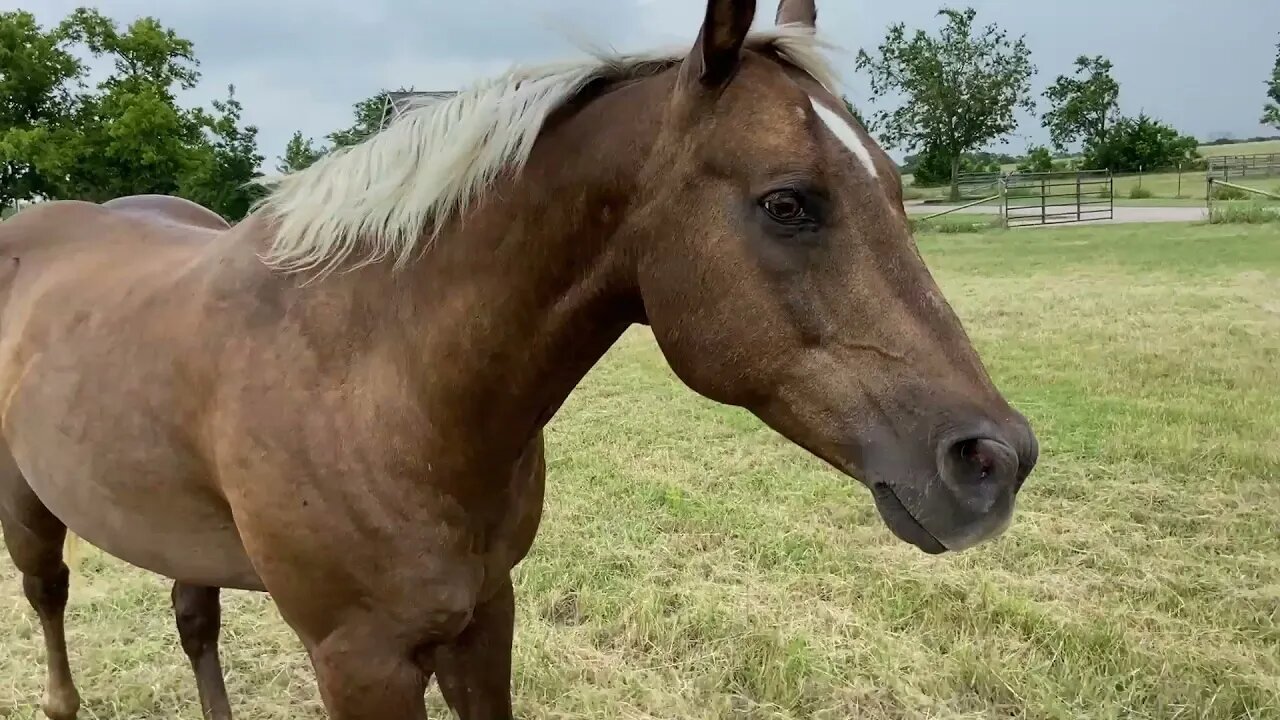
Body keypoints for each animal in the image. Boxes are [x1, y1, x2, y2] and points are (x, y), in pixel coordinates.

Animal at [2, 0, 1039, 712]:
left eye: (898, 189)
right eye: (788, 202)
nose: (997, 458)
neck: (374, 378)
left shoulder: (485, 618)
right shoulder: (360, 662)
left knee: (193, 618)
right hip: (28, 508)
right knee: (49, 596)